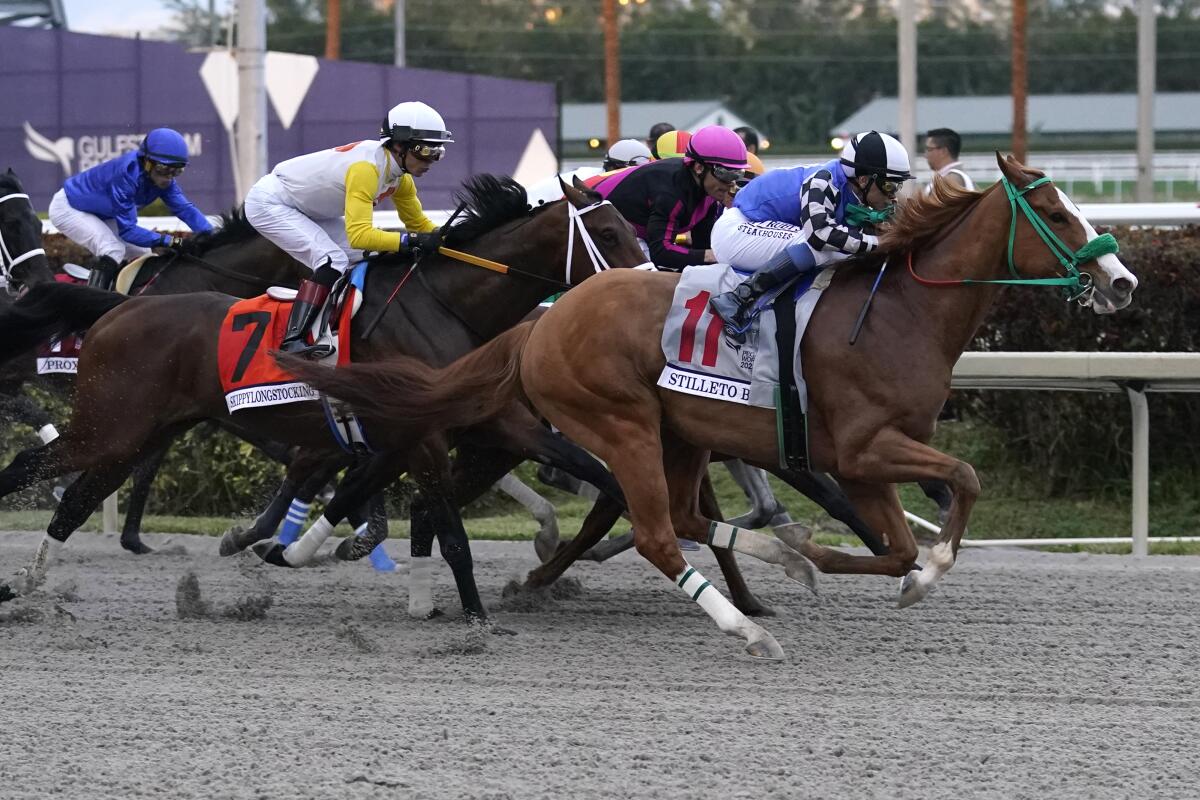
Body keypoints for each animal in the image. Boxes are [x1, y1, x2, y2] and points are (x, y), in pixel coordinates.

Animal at [285, 153, 1137, 662]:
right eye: (1057, 214)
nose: (1123, 282)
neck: (901, 315)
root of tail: (540, 322)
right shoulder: (863, 449)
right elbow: (962, 479)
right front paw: (896, 571)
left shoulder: (860, 463)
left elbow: (900, 542)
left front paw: (863, 568)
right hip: (621, 423)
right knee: (659, 533)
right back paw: (744, 625)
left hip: (680, 431)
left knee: (687, 518)